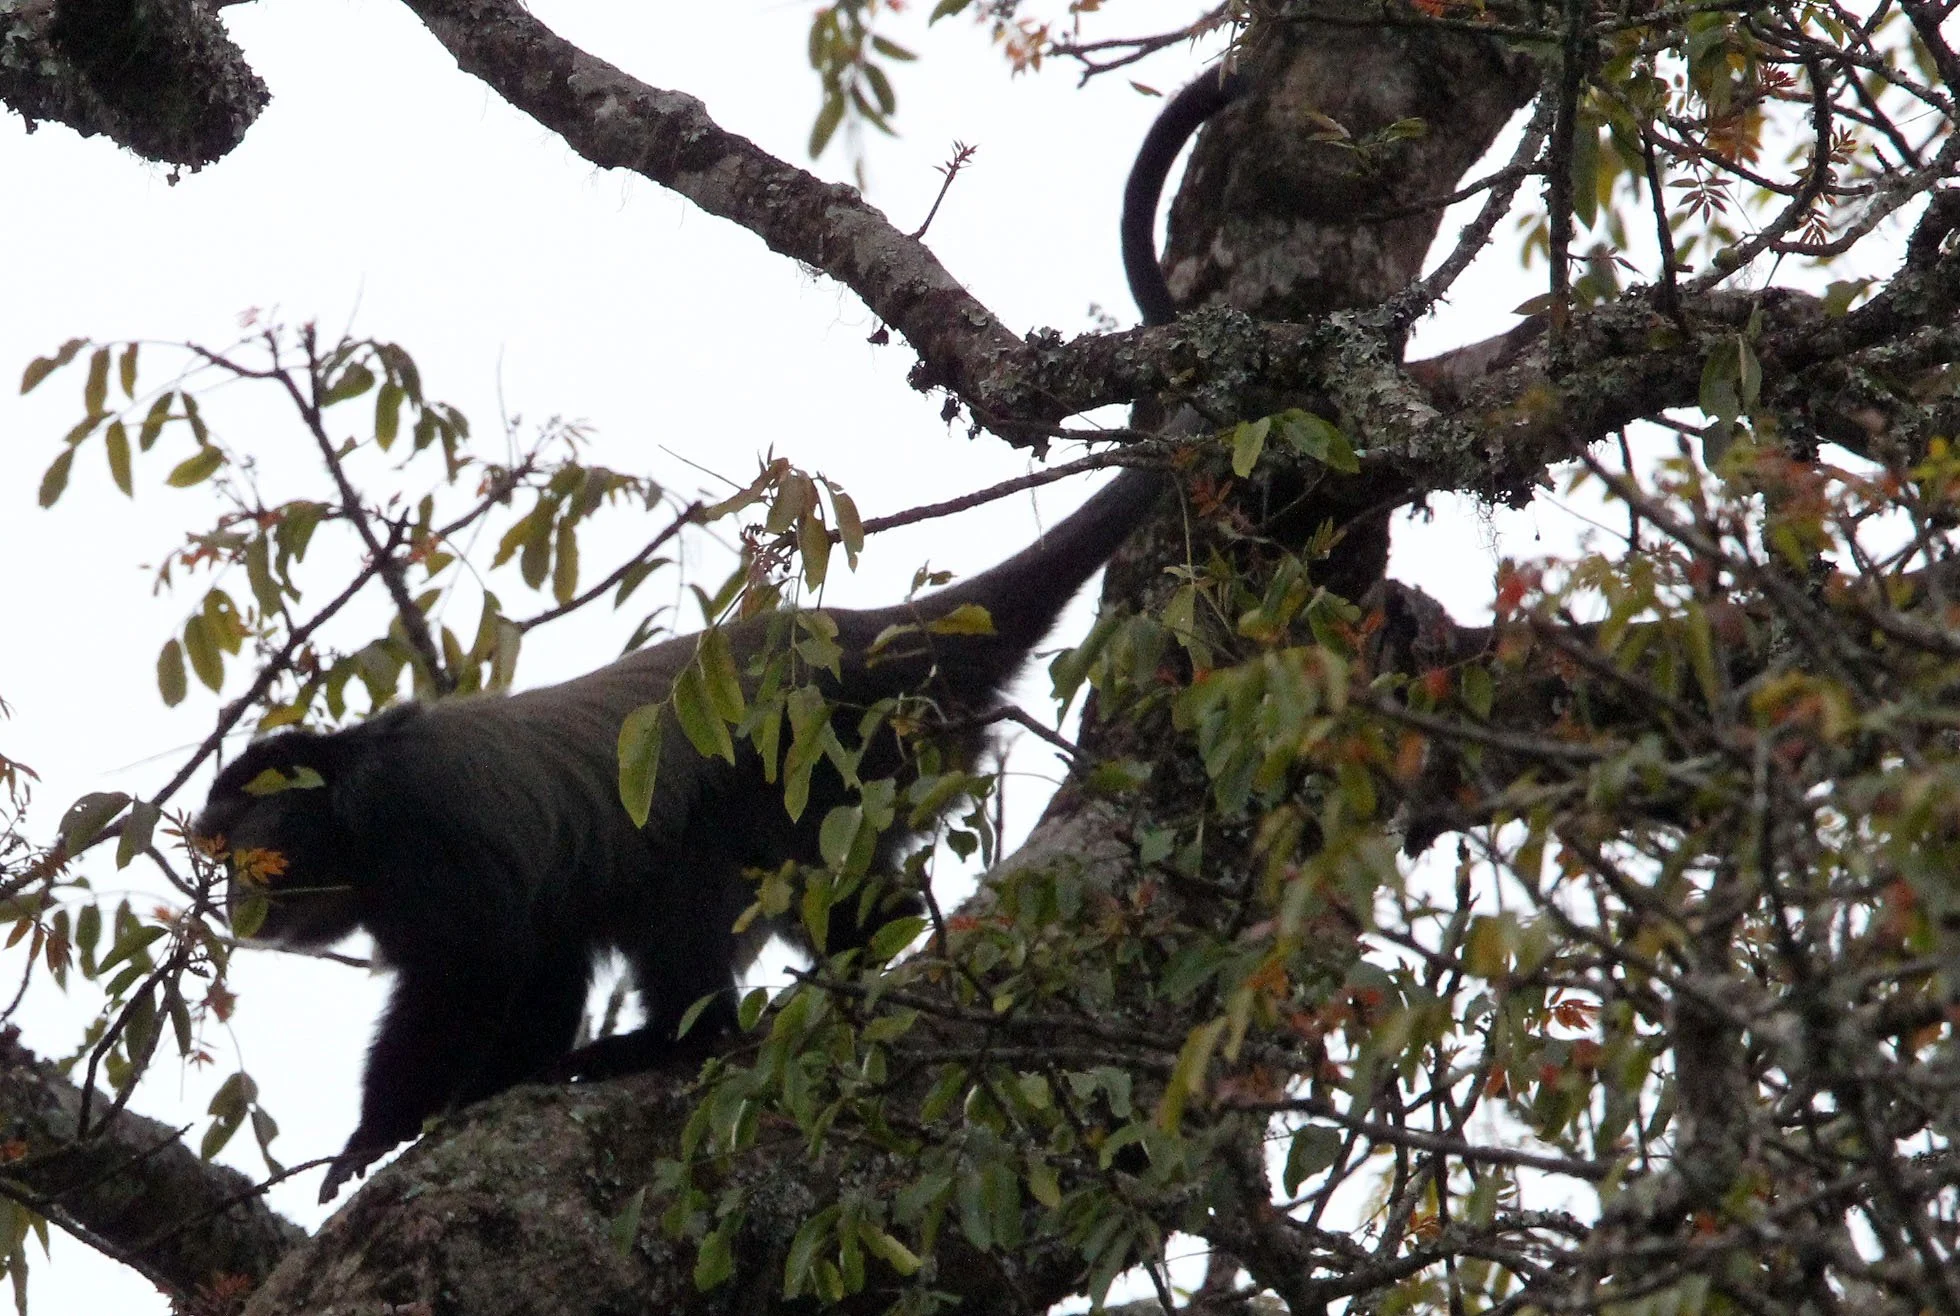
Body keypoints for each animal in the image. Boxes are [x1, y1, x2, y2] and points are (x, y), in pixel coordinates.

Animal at [194, 64, 1241, 1205]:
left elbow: (478, 969)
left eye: (237, 843)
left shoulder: (415, 831)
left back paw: (676, 1040)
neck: (346, 799)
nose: (228, 897)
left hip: (818, 753)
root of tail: (873, 632)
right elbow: (544, 959)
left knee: (691, 877)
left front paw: (375, 1134)